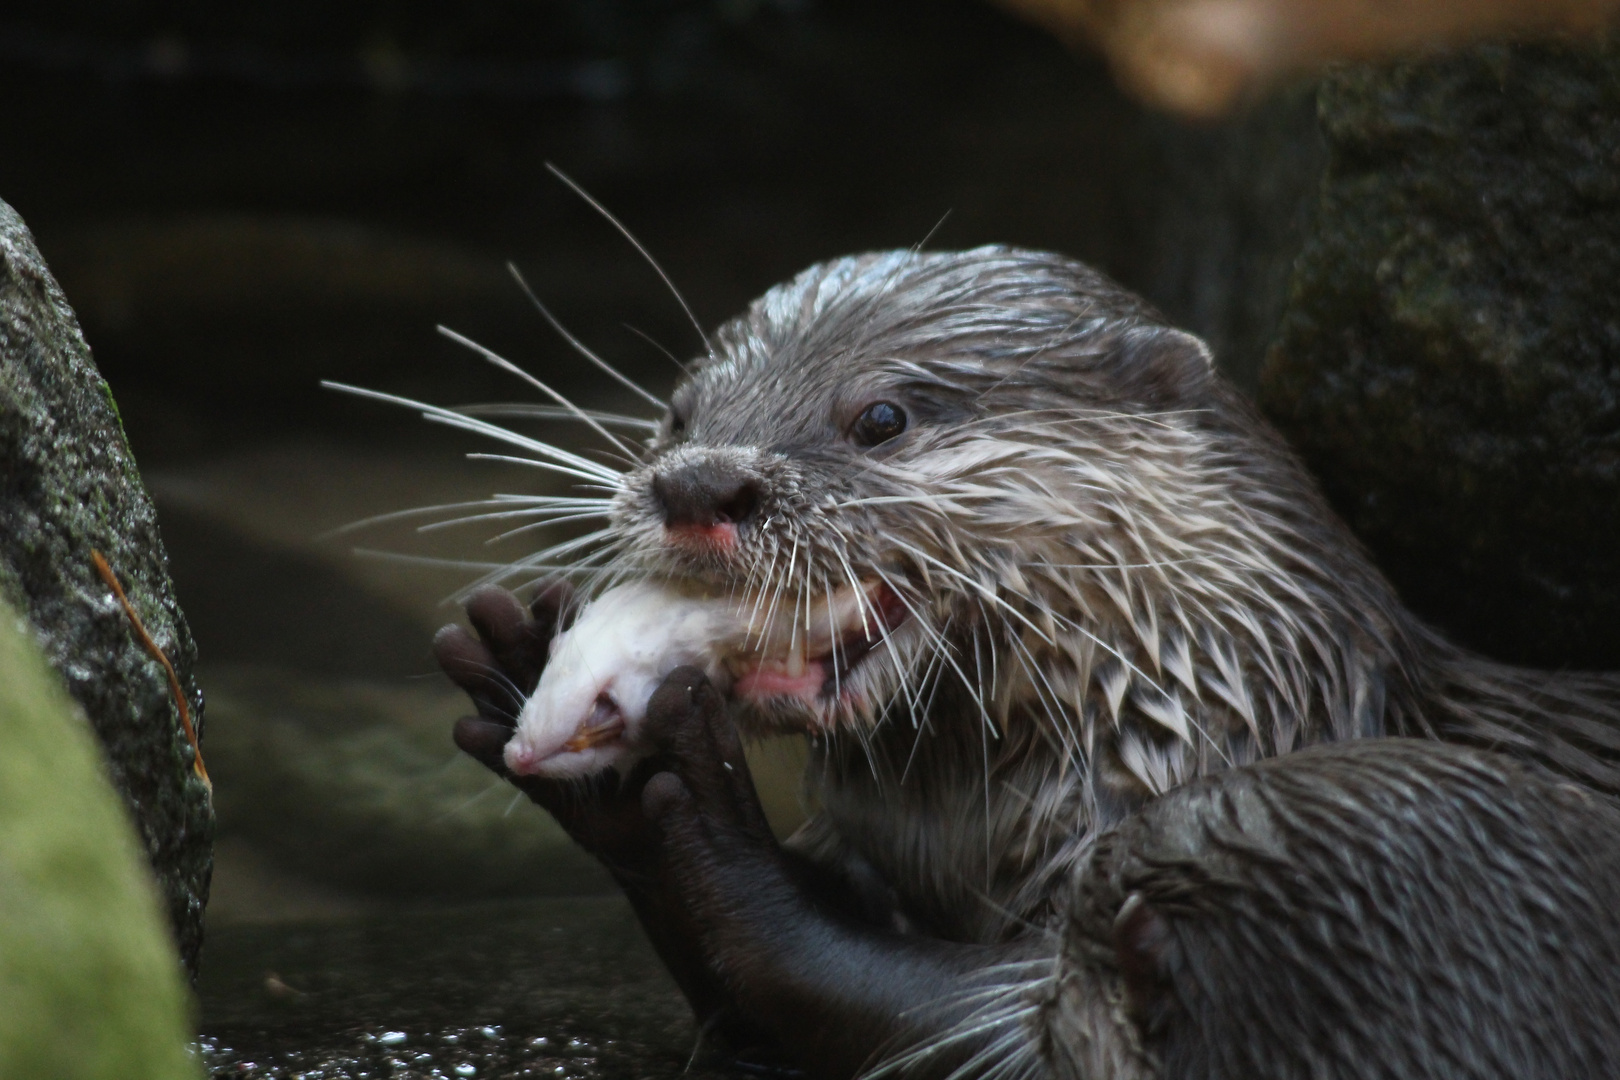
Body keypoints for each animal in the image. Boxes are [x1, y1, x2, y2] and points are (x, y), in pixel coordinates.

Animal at [427, 249, 1620, 1075]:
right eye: (676, 415)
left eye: (882, 417)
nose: (698, 482)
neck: (1211, 714)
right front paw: (528, 665)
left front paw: (698, 796)